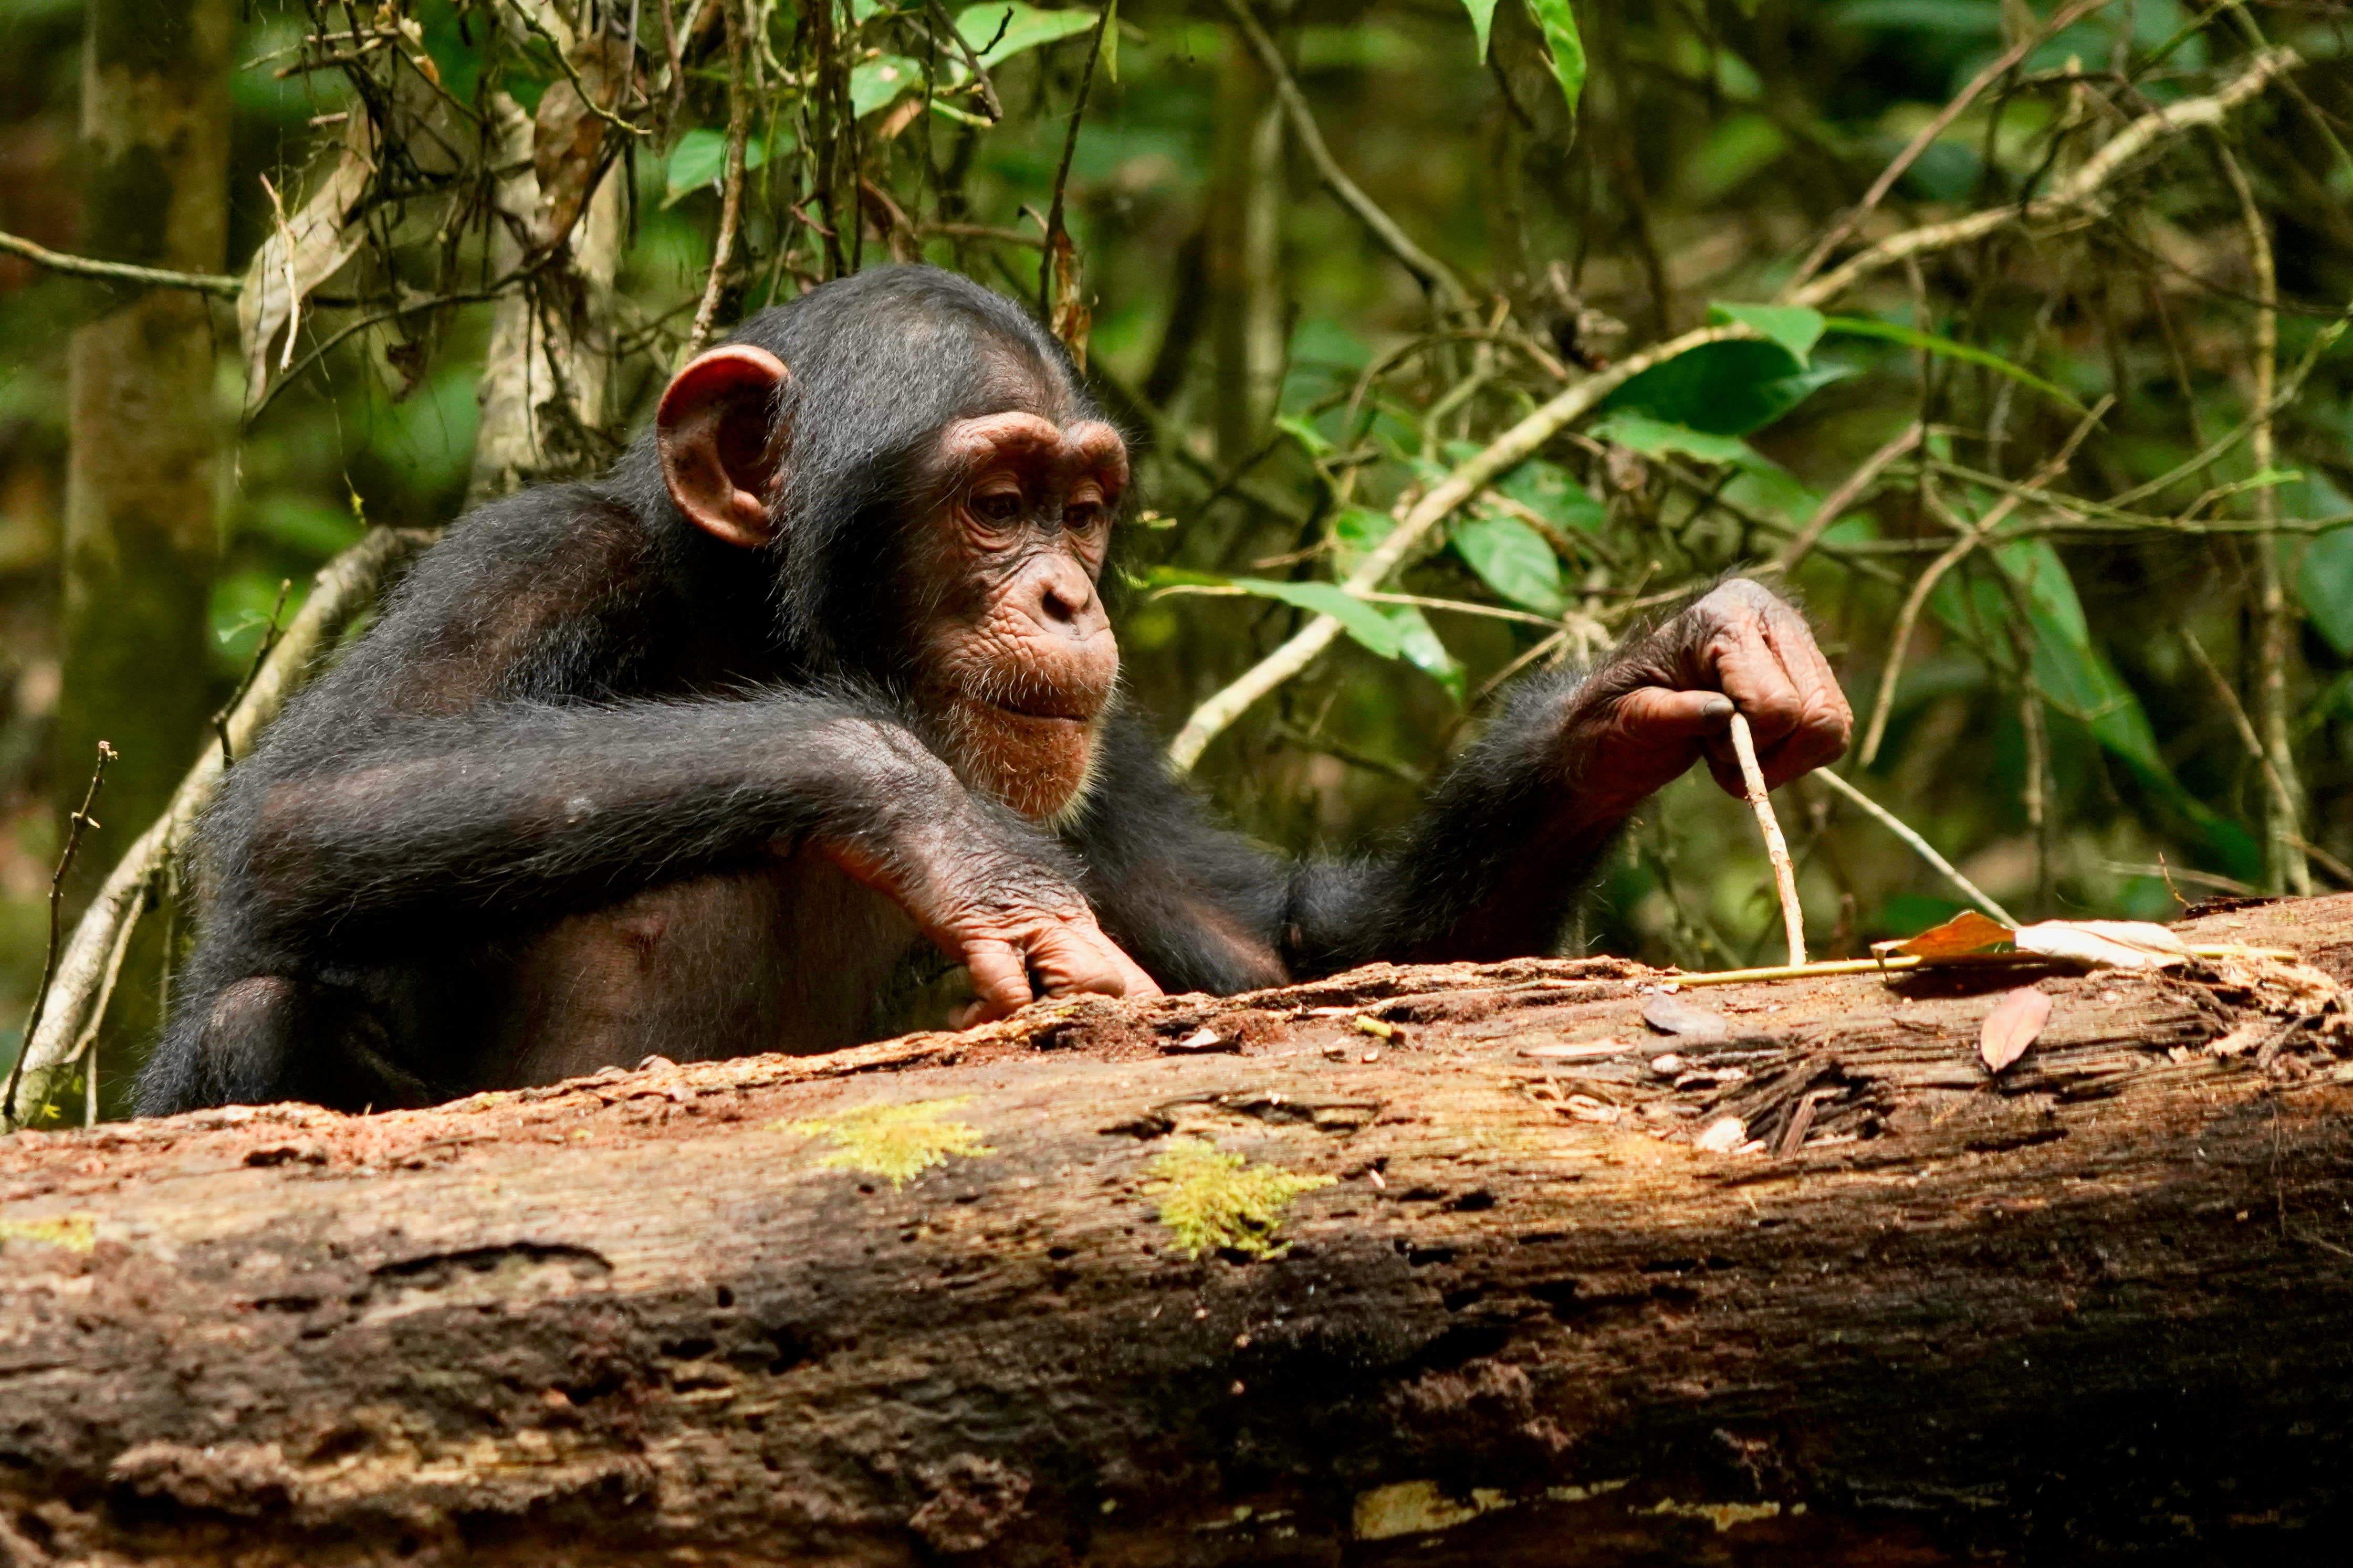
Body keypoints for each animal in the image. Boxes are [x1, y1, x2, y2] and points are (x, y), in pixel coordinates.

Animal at [133, 270, 1854, 1123]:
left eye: (1081, 510)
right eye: (995, 501)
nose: (1068, 596)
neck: (768, 633)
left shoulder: (1111, 753)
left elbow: (1296, 952)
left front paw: (1667, 674)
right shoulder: (531, 559)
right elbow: (308, 811)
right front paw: (946, 834)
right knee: (266, 995)